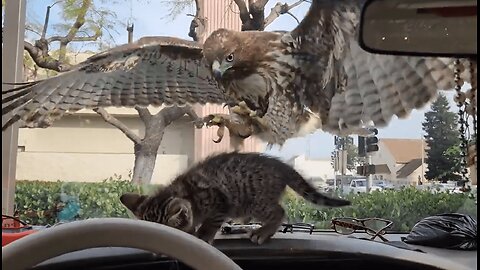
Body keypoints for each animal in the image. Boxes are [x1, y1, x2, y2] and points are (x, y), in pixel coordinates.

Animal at [121, 152, 348, 245]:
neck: (185, 192)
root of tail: (281, 166)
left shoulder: (219, 201)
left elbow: (211, 222)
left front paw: (202, 236)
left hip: (255, 201)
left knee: (279, 211)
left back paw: (262, 232)